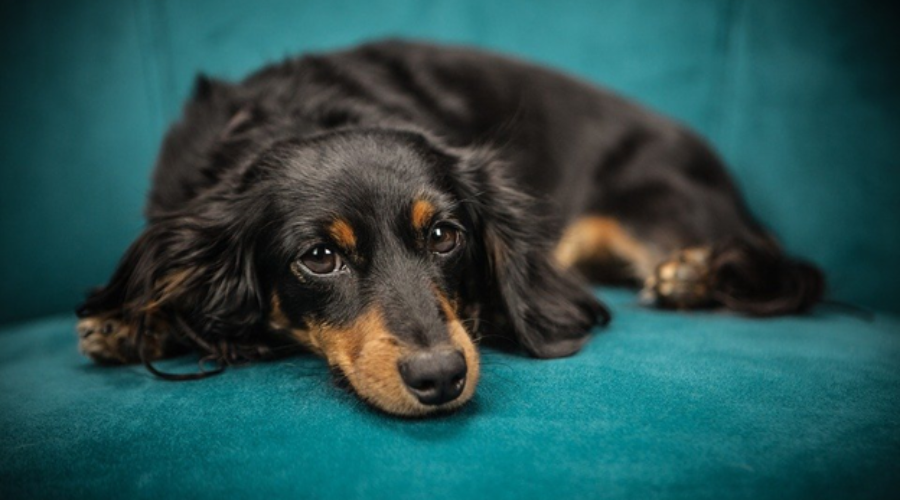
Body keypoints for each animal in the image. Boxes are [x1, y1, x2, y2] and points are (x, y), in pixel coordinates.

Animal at [77, 39, 824, 416]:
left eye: (444, 236)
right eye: (318, 257)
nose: (440, 377)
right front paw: (129, 320)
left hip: (655, 205)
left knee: (786, 271)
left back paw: (693, 274)